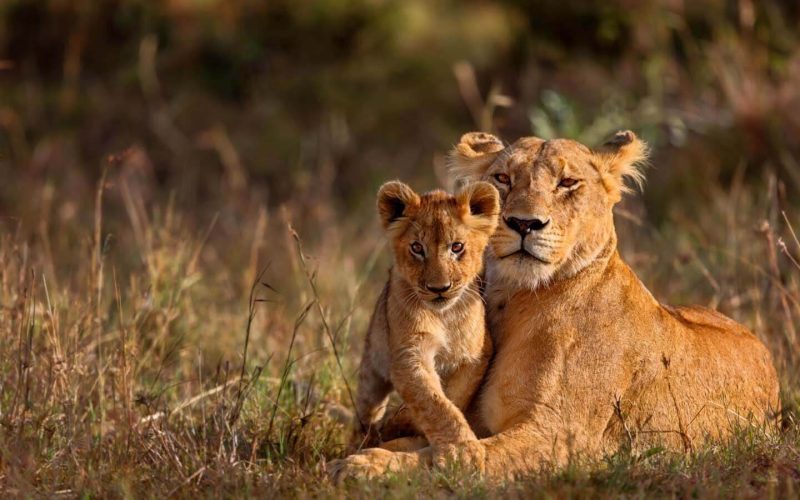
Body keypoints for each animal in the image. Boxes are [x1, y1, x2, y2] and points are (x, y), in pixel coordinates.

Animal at [348, 180, 499, 461]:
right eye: (417, 248)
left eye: (457, 247)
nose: (439, 288)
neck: (444, 315)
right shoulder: (409, 355)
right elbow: (433, 402)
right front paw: (462, 450)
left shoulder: (476, 355)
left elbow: (452, 397)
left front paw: (407, 423)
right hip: (371, 370)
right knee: (366, 412)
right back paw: (361, 441)